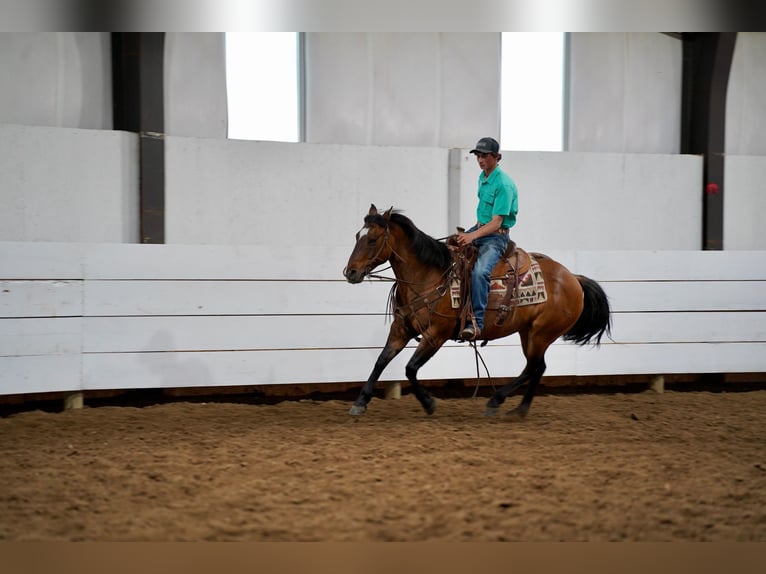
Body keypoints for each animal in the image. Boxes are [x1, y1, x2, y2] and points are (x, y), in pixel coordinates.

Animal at [344, 207, 612, 418]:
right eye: (357, 235)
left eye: (372, 239)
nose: (350, 272)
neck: (428, 276)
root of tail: (573, 279)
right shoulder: (401, 329)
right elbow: (381, 361)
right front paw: (360, 402)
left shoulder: (436, 335)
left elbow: (410, 368)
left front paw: (428, 403)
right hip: (528, 332)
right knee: (538, 368)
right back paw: (520, 409)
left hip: (541, 333)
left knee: (533, 367)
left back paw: (496, 400)